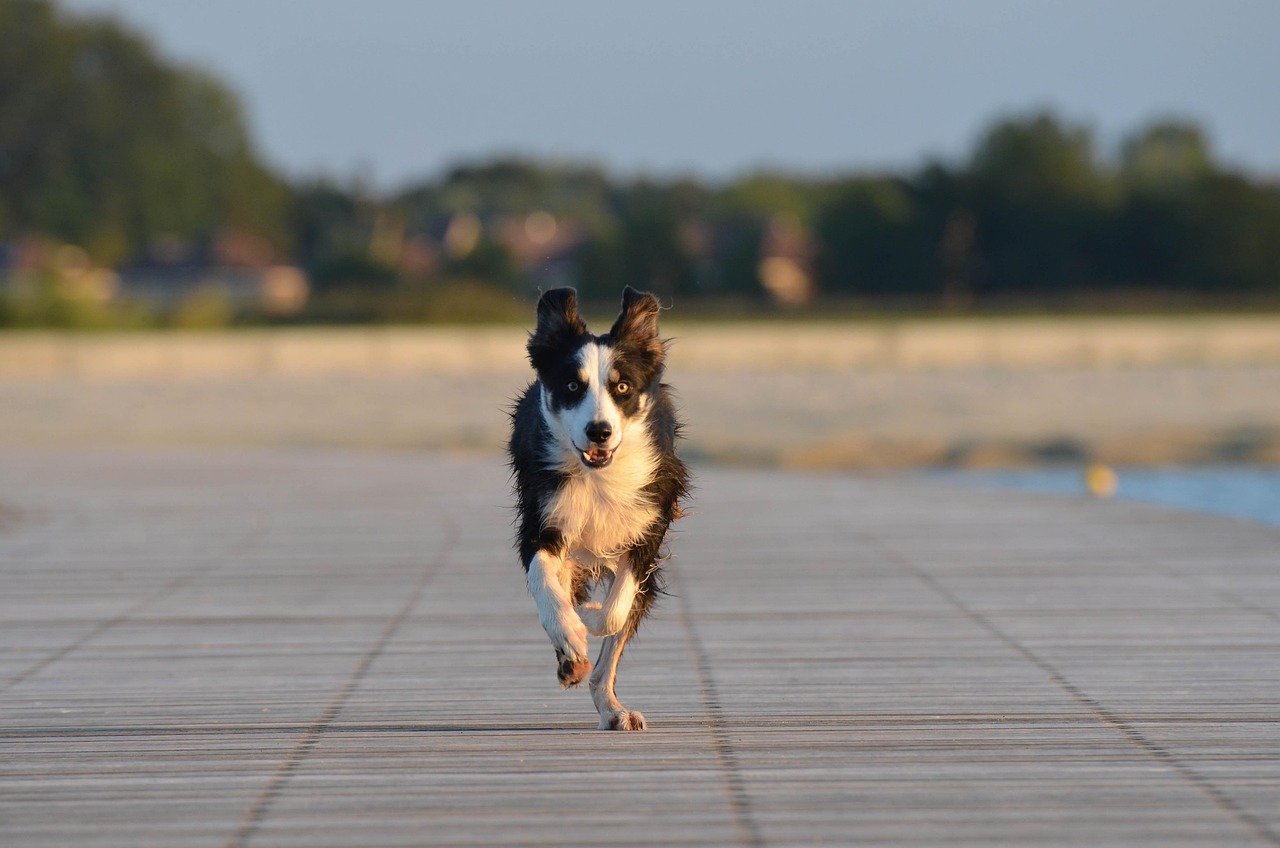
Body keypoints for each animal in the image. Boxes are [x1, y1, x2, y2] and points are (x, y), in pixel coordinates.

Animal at [509, 285, 691, 732]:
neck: (597, 476)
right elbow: (546, 582)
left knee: (608, 658)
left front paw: (588, 615)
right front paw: (570, 631)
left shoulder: (650, 523)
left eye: (622, 387)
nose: (599, 431)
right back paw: (572, 659)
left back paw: (613, 709)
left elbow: (616, 611)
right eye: (572, 386)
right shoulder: (541, 519)